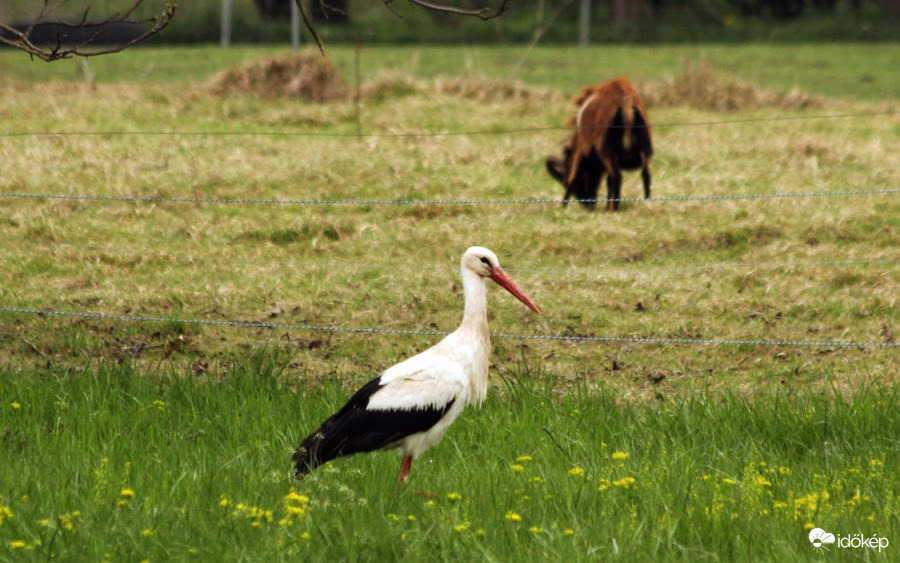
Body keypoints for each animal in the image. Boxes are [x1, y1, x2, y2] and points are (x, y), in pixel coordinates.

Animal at [544, 77, 652, 212]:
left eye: (564, 182)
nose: (587, 205)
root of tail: (625, 103)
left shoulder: (580, 149)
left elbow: (574, 176)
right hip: (645, 149)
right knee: (645, 175)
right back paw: (647, 205)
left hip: (606, 151)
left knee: (616, 176)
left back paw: (612, 210)